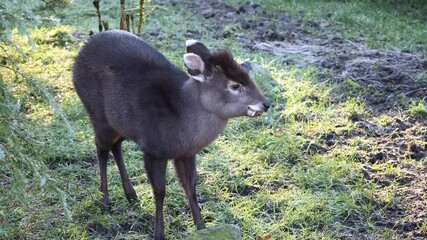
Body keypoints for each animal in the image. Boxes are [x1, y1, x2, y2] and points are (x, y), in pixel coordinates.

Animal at [72, 30, 270, 240]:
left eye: (246, 75)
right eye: (234, 85)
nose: (266, 104)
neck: (180, 118)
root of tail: (82, 50)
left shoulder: (186, 154)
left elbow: (190, 187)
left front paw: (202, 228)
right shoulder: (154, 150)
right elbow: (160, 191)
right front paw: (159, 233)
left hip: (118, 123)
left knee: (116, 147)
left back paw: (130, 194)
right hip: (98, 115)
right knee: (101, 148)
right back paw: (105, 200)